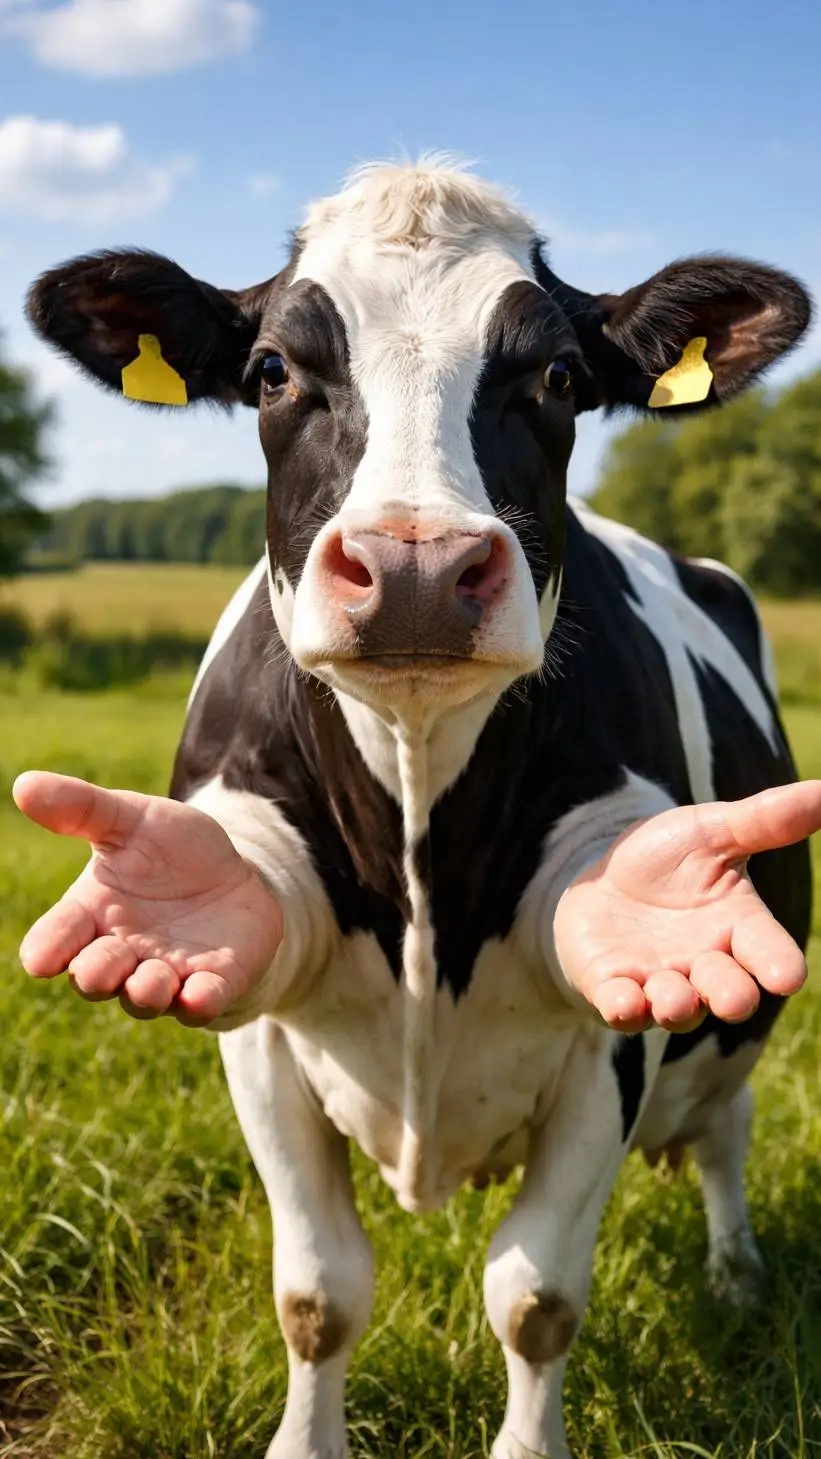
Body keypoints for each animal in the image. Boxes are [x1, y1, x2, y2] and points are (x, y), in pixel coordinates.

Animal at [22, 159, 816, 1459]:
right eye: (271, 371)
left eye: (556, 376)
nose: (414, 569)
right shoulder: (259, 1031)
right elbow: (317, 1292)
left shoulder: (617, 1028)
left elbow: (535, 1295)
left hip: (725, 1041)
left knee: (722, 1134)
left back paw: (739, 1276)